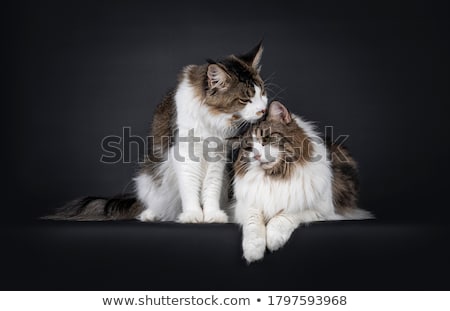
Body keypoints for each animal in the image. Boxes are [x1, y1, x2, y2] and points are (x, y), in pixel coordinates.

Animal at [46, 42, 268, 223]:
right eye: (245, 99)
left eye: (262, 93)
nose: (263, 110)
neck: (211, 118)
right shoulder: (185, 156)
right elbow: (190, 188)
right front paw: (192, 215)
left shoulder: (217, 157)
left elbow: (210, 190)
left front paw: (212, 215)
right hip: (147, 179)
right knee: (154, 204)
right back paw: (151, 214)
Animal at [232, 101, 372, 262]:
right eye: (249, 148)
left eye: (265, 139)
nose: (256, 156)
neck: (277, 175)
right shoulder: (247, 206)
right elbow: (253, 224)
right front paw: (253, 250)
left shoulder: (321, 210)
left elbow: (283, 216)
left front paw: (273, 239)